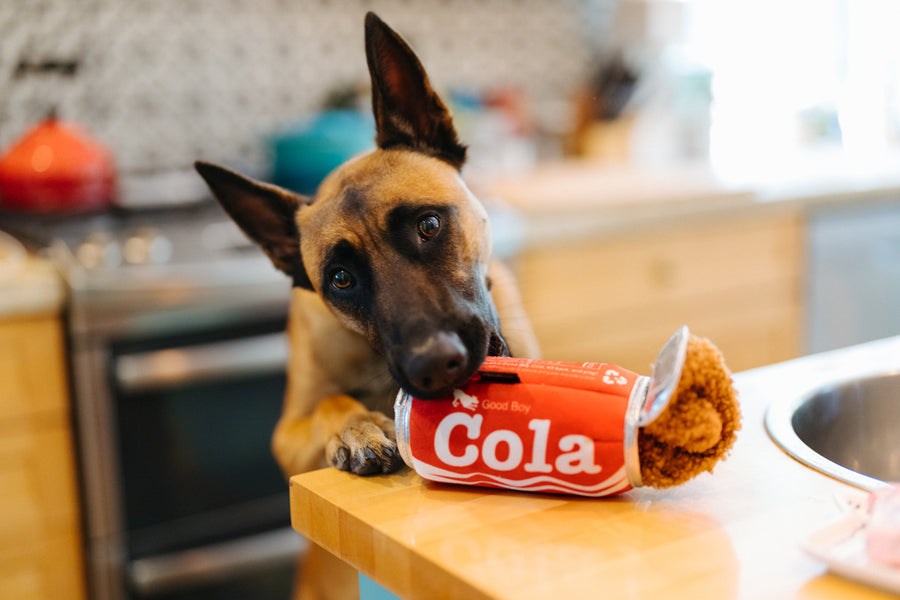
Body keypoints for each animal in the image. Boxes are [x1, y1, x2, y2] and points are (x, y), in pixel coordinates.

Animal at [195, 14, 536, 600]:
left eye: (429, 225)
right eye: (341, 279)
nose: (434, 365)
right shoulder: (285, 439)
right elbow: (329, 404)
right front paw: (357, 427)